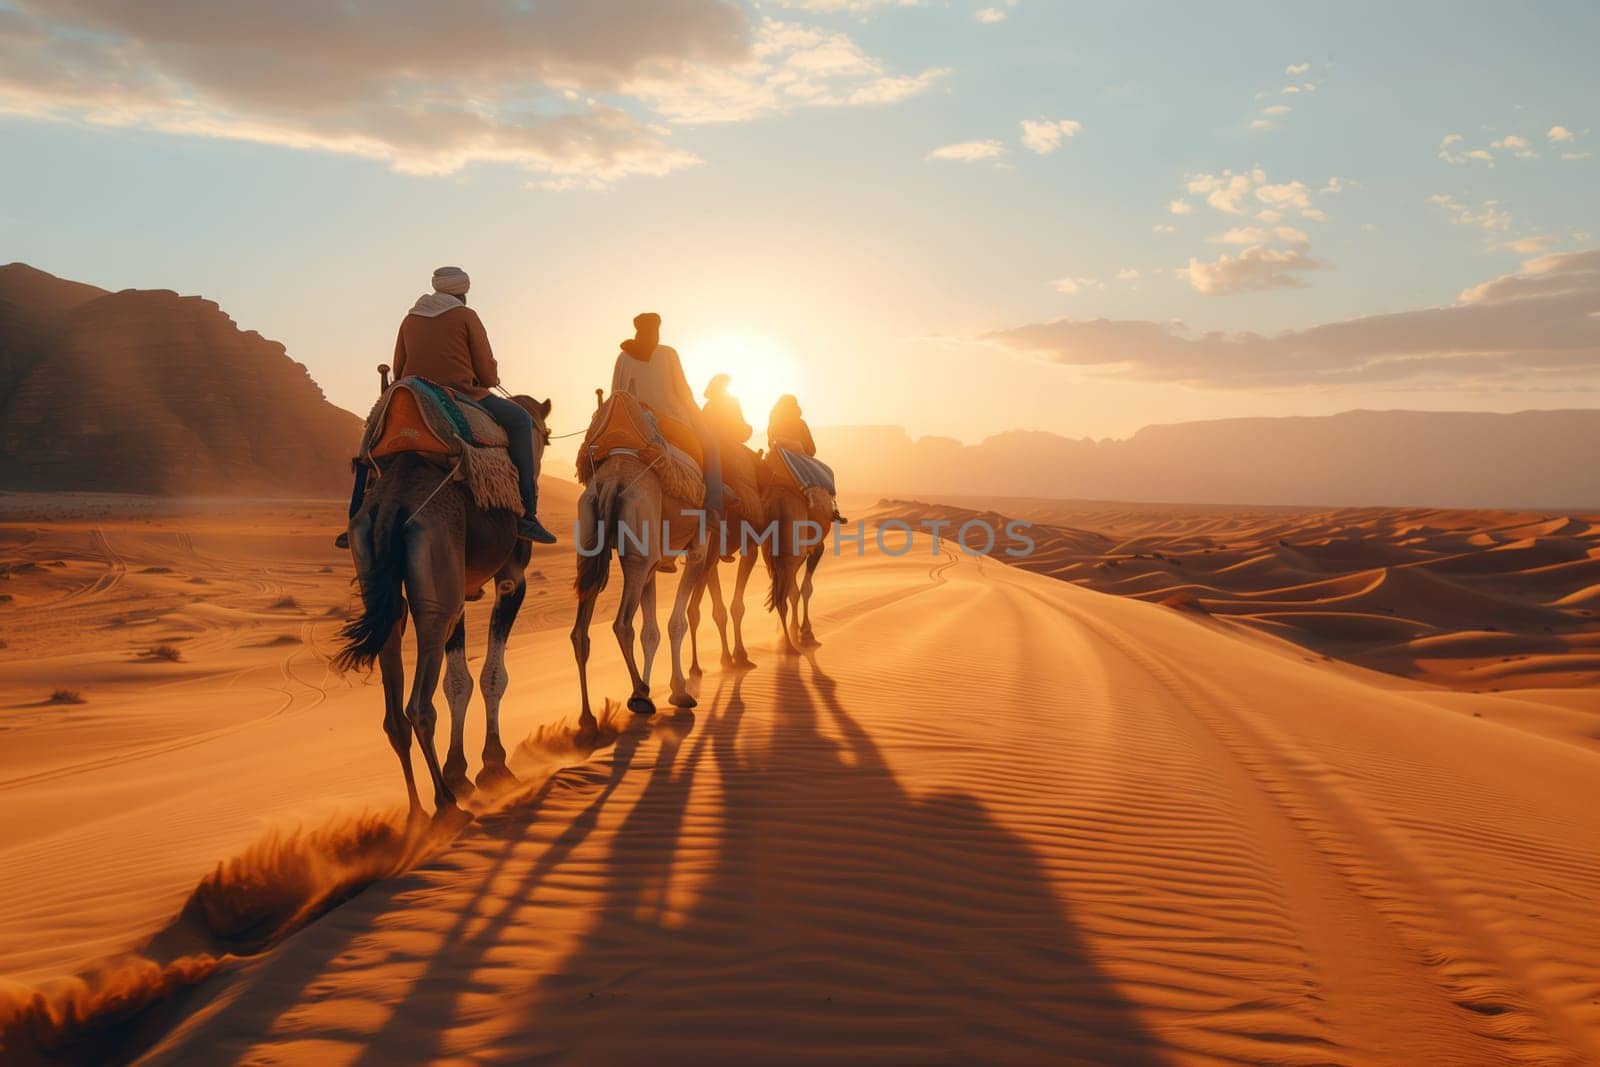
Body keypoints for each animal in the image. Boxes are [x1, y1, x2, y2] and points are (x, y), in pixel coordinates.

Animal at [334, 395, 553, 819]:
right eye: (547, 438)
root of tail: (390, 505)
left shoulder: (463, 590)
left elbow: (458, 681)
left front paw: (460, 771)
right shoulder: (511, 577)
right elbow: (491, 675)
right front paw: (493, 766)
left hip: (381, 578)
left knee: (394, 713)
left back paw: (418, 814)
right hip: (437, 585)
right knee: (419, 703)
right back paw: (446, 806)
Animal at [569, 451, 707, 716]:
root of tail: (612, 481)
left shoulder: (655, 565)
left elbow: (651, 631)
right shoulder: (698, 550)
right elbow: (676, 623)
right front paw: (680, 691)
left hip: (589, 539)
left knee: (580, 631)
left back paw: (588, 717)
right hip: (640, 550)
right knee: (622, 623)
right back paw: (641, 694)